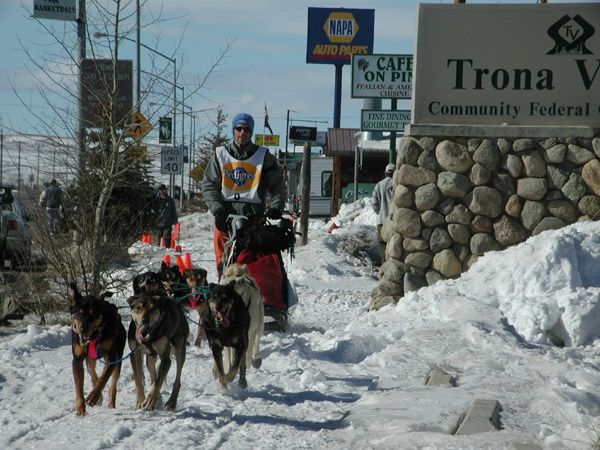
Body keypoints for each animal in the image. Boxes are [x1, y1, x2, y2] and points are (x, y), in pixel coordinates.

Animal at [69, 284, 126, 416]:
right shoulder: (77, 359)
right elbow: (79, 387)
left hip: (118, 359)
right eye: (78, 314)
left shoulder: (111, 358)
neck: (94, 337)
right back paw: (99, 397)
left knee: (113, 385)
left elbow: (103, 379)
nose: (83, 330)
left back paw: (109, 402)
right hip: (91, 359)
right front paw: (80, 408)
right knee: (92, 372)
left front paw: (93, 397)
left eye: (93, 314)